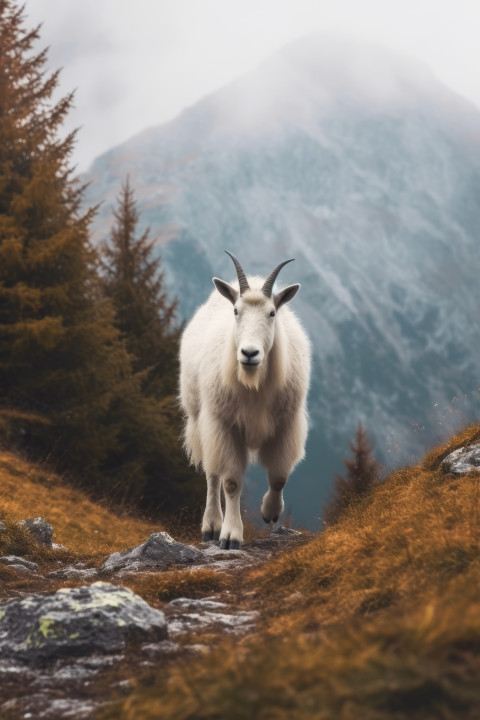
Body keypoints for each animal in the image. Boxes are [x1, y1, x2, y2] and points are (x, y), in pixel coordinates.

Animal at [179, 251, 310, 549]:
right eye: (236, 311)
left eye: (272, 313)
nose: (249, 353)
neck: (253, 382)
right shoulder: (225, 426)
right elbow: (230, 482)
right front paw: (230, 536)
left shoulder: (287, 425)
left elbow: (279, 476)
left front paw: (270, 512)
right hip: (202, 419)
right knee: (212, 474)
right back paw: (211, 526)